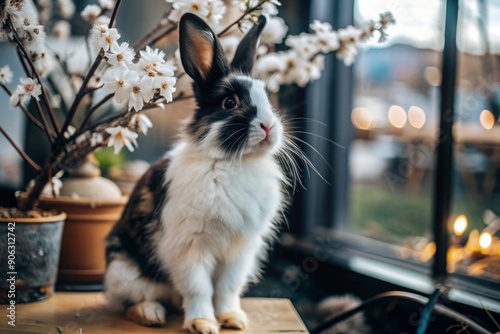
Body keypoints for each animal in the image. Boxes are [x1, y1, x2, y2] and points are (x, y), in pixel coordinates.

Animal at [104, 11, 292, 332]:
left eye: (268, 98)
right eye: (230, 103)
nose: (269, 126)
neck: (232, 162)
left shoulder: (239, 252)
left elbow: (227, 288)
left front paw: (233, 319)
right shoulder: (191, 247)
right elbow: (199, 288)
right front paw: (203, 323)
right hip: (126, 273)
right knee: (127, 302)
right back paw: (150, 313)